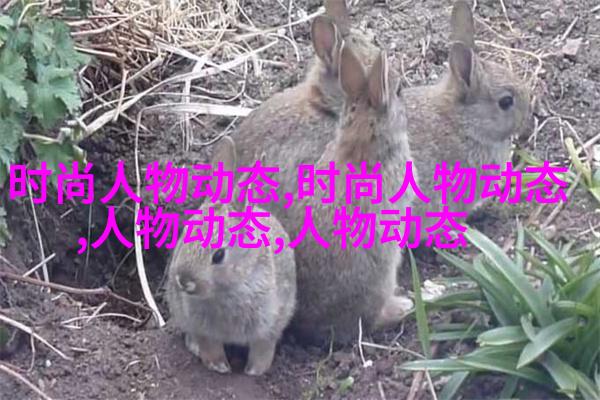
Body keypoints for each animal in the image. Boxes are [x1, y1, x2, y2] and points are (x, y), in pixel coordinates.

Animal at [166, 136, 296, 376]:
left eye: (218, 255)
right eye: (185, 234)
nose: (184, 281)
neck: (228, 289)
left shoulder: (271, 320)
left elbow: (263, 346)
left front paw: (254, 370)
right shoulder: (201, 325)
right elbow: (210, 345)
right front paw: (219, 366)